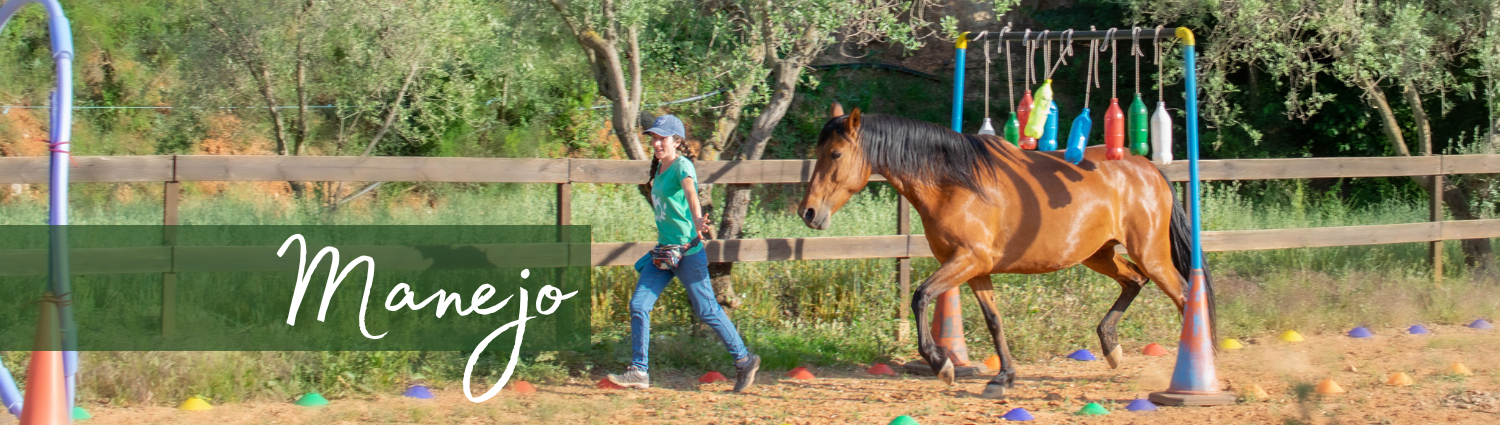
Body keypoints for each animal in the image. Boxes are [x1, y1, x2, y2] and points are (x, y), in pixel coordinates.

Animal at [798, 105, 1206, 399]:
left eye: (835, 154)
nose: (808, 212)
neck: (953, 182)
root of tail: (1148, 168)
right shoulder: (976, 269)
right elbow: (994, 321)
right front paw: (1003, 378)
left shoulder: (968, 260)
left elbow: (920, 296)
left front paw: (941, 365)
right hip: (1100, 254)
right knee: (1134, 281)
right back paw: (1111, 348)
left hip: (1151, 255)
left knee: (1185, 297)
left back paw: (1193, 373)